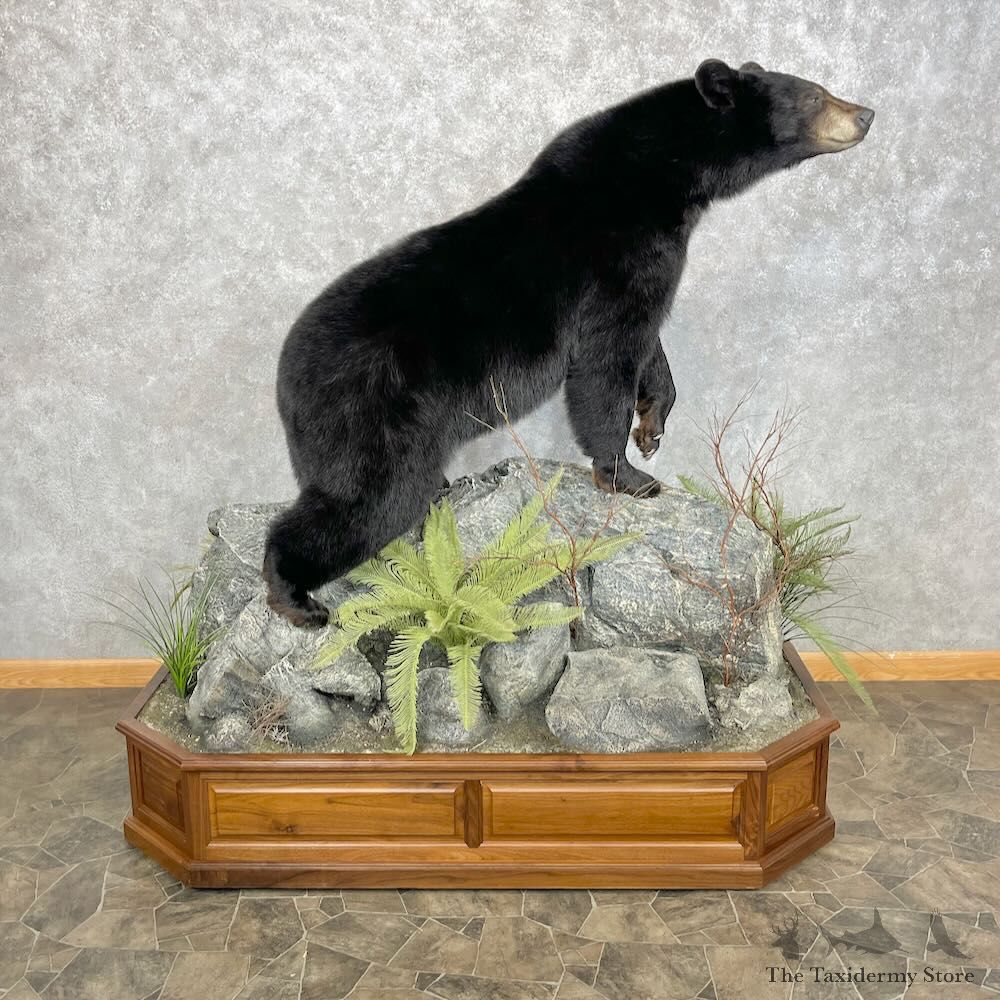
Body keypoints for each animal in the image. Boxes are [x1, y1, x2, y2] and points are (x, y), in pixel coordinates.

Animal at [263, 58, 874, 627]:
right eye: (815, 93)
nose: (866, 113)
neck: (662, 177)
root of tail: (285, 384)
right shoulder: (620, 260)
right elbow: (607, 361)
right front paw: (629, 474)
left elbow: (649, 346)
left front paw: (652, 426)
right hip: (374, 414)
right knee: (368, 501)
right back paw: (294, 595)